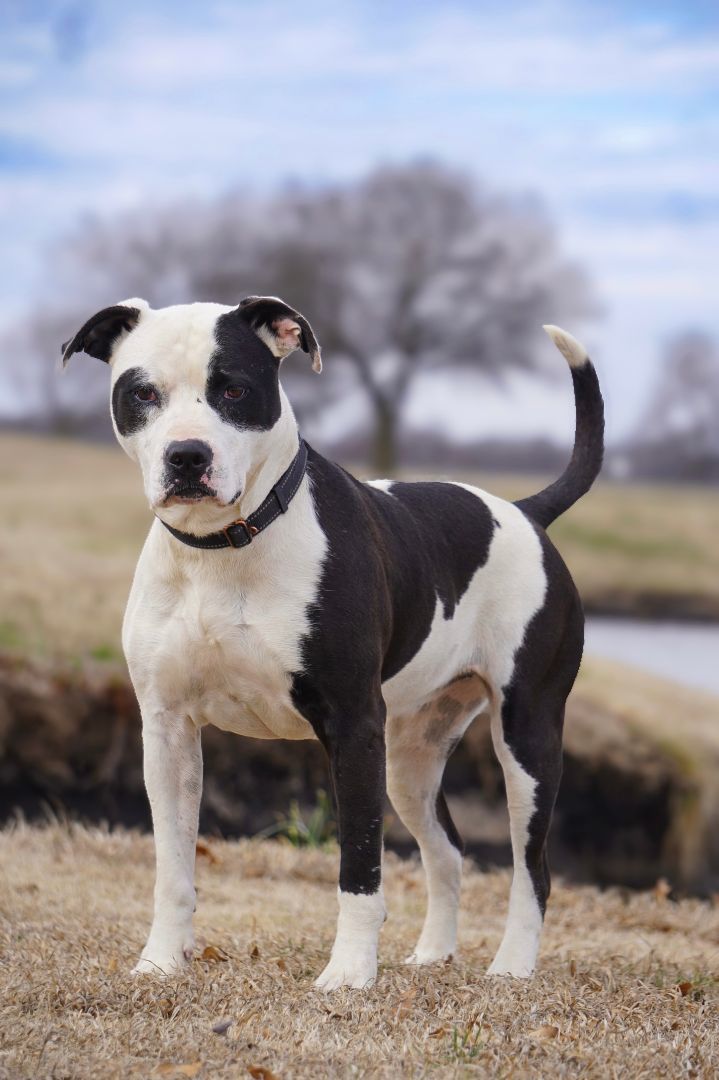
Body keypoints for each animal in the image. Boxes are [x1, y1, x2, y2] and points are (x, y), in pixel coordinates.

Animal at [60, 293, 600, 989]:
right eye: (143, 392)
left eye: (233, 388)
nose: (187, 456)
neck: (226, 548)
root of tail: (526, 513)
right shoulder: (168, 730)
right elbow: (173, 867)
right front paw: (159, 962)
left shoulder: (352, 727)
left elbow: (360, 866)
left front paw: (348, 976)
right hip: (412, 760)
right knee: (449, 852)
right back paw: (433, 954)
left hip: (527, 740)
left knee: (532, 868)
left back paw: (510, 968)